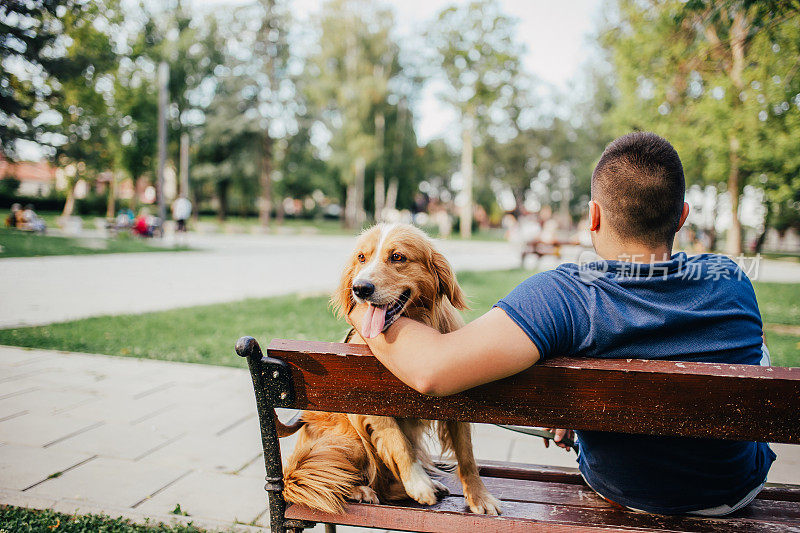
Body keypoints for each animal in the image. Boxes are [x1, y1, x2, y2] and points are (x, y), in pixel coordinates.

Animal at [282, 221, 500, 516]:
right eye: (361, 257)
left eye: (397, 257)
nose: (360, 288)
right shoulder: (368, 403)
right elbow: (397, 441)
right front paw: (417, 482)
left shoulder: (456, 402)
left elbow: (466, 455)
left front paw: (478, 496)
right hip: (350, 441)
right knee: (333, 475)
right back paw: (362, 490)